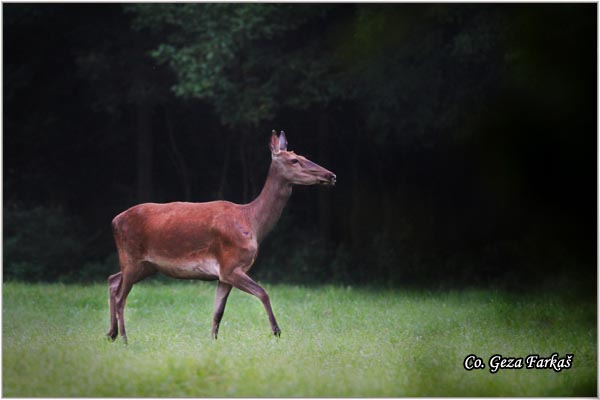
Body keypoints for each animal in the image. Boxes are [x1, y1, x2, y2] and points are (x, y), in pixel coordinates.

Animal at [108, 130, 338, 342]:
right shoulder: (231, 265)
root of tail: (114, 221)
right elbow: (263, 292)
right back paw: (124, 338)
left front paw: (213, 340)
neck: (251, 222)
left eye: (303, 155)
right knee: (121, 297)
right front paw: (276, 331)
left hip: (146, 265)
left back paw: (111, 333)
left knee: (112, 281)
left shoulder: (224, 275)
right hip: (131, 257)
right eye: (294, 160)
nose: (331, 175)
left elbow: (218, 311)